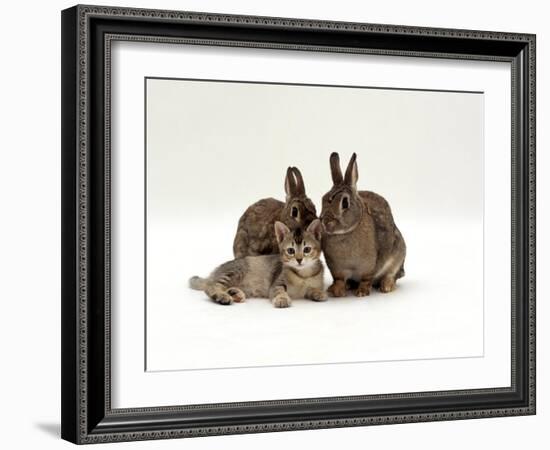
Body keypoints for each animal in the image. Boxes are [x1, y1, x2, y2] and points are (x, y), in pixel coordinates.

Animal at [190, 219, 328, 310]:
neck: (303, 274)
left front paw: (319, 293)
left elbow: (312, 289)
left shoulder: (312, 285)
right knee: (211, 287)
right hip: (236, 271)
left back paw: (234, 293)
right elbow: (279, 291)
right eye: (290, 251)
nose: (299, 260)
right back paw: (223, 297)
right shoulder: (276, 284)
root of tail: (213, 273)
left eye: (307, 249)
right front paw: (282, 299)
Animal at [322, 153, 408, 298]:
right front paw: (336, 291)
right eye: (323, 199)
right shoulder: (337, 269)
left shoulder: (368, 266)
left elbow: (366, 279)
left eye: (345, 203)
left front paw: (362, 292)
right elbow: (339, 280)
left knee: (391, 275)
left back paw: (386, 286)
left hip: (398, 253)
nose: (325, 222)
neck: (345, 233)